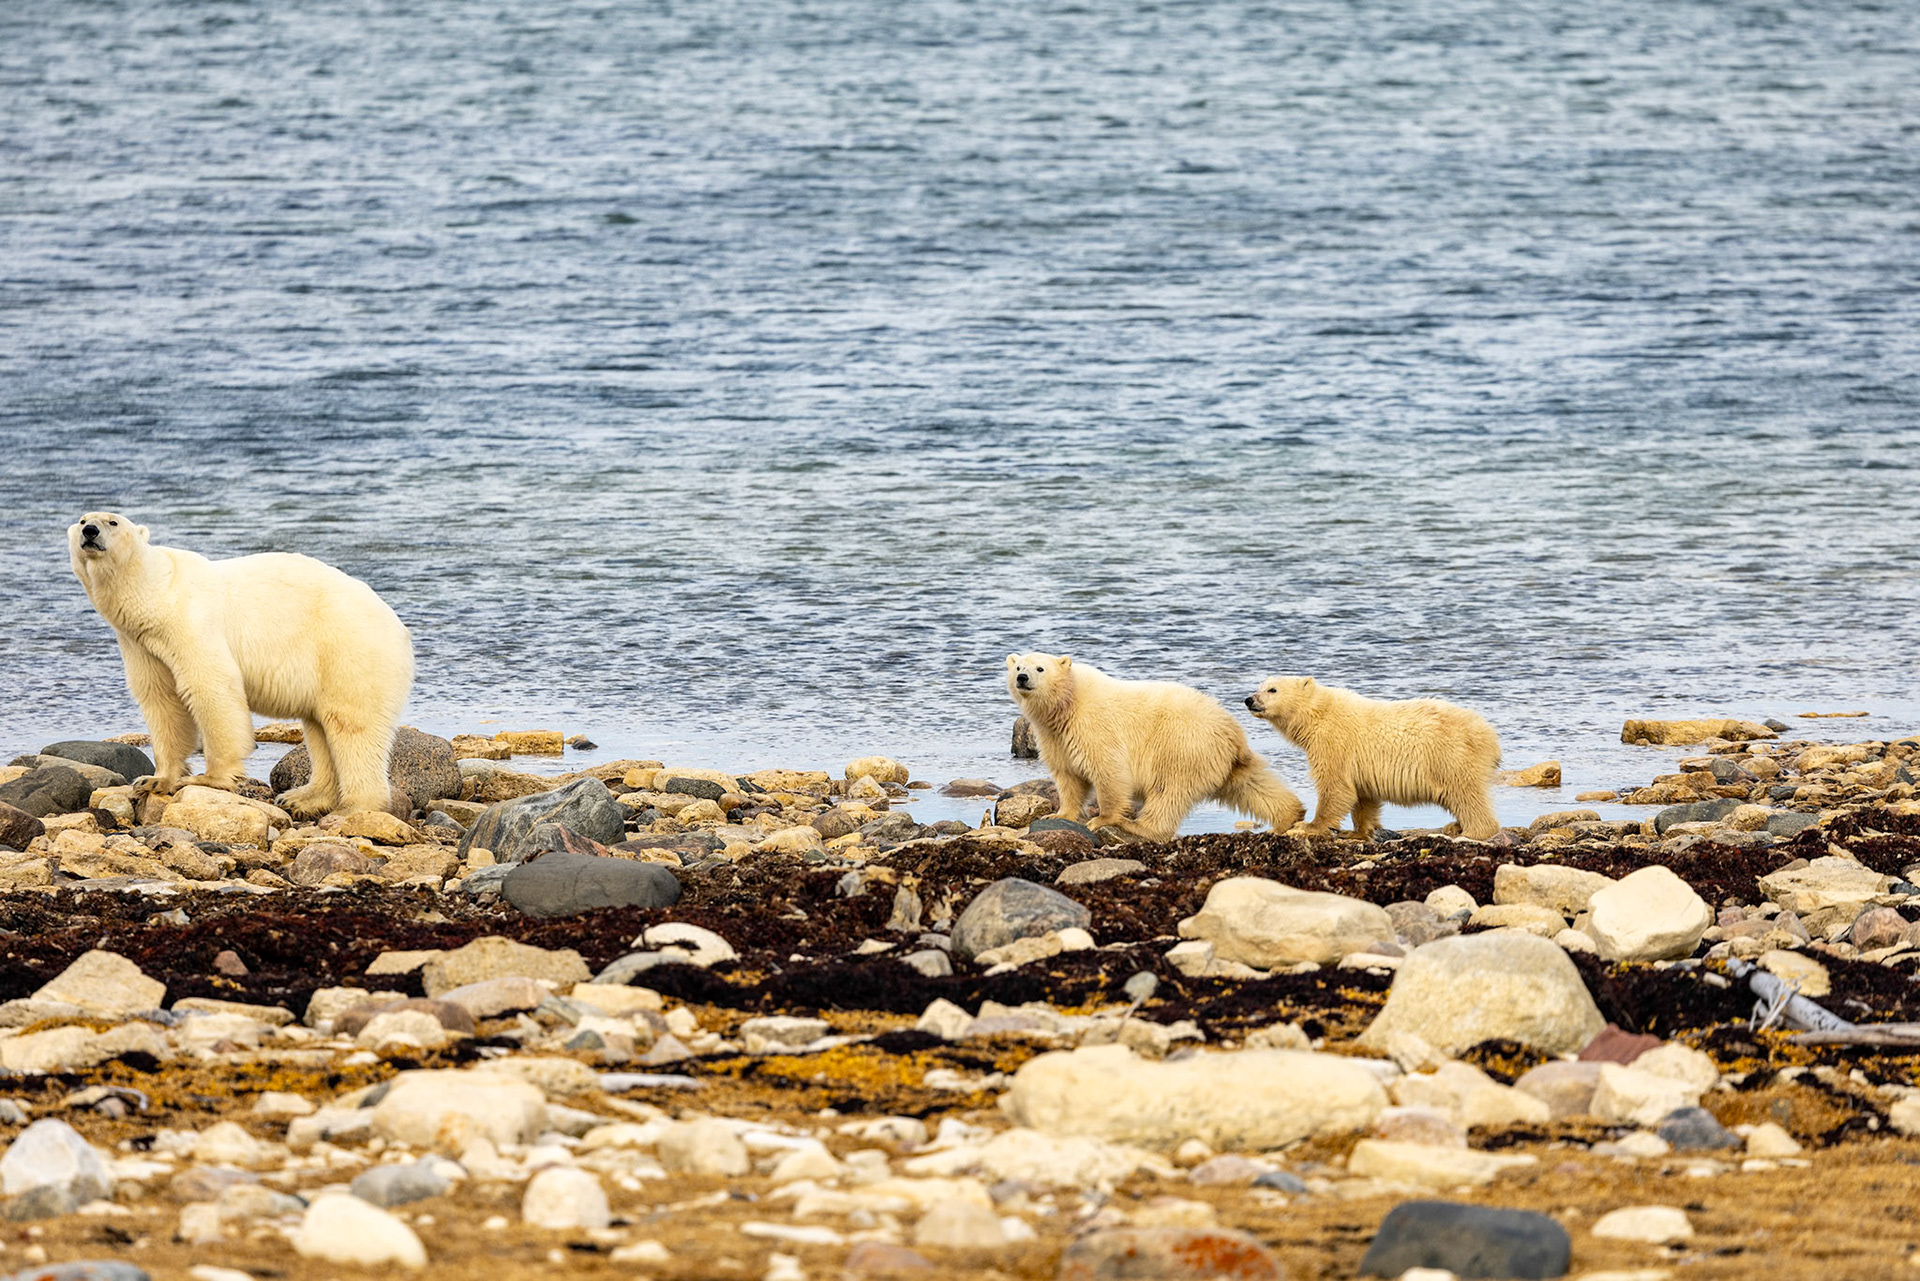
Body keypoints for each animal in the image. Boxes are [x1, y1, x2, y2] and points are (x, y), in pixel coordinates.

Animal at [68, 511, 414, 818]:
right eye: (83, 519)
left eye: (113, 521)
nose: (90, 532)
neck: (156, 592)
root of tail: (400, 629)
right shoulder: (140, 644)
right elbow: (161, 699)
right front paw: (154, 780)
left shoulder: (191, 622)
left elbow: (210, 686)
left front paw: (210, 778)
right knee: (320, 730)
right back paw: (303, 798)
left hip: (347, 651)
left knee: (352, 726)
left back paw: (353, 806)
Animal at [1006, 652, 1305, 843]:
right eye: (1018, 666)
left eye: (1040, 668)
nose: (1022, 678)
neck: (1069, 702)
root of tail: (1233, 733)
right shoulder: (1055, 737)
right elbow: (1068, 776)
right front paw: (1060, 813)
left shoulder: (1095, 727)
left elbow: (1109, 771)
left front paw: (1103, 819)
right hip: (1223, 760)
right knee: (1252, 785)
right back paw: (1291, 813)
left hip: (1183, 748)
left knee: (1168, 793)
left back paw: (1138, 826)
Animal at [1244, 676, 1502, 841]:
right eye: (1259, 686)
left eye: (1272, 689)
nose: (1249, 699)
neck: (1319, 714)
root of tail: (1489, 735)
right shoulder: (1359, 764)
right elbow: (1362, 796)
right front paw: (1356, 832)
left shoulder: (1334, 743)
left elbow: (1335, 787)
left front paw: (1306, 827)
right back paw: (1455, 826)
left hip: (1451, 756)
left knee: (1465, 793)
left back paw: (1472, 832)